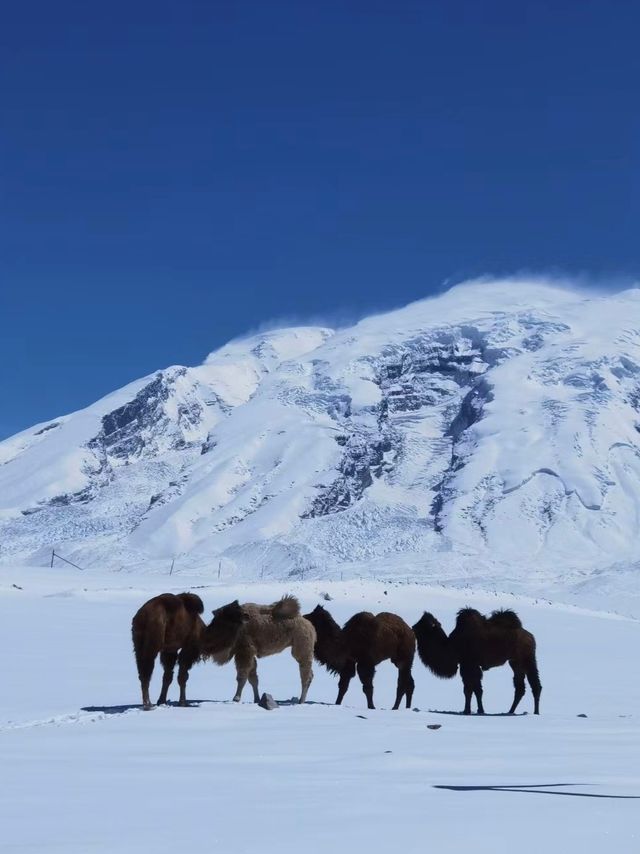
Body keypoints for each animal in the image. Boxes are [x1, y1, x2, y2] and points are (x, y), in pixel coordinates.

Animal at [412, 604, 544, 720]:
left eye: (424, 624)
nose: (412, 627)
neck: (452, 646)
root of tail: (530, 636)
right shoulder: (470, 665)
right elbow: (476, 689)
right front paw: (479, 710)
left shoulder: (468, 664)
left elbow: (469, 689)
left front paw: (467, 711)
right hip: (515, 662)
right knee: (520, 687)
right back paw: (510, 711)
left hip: (527, 658)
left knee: (535, 684)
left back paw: (536, 712)